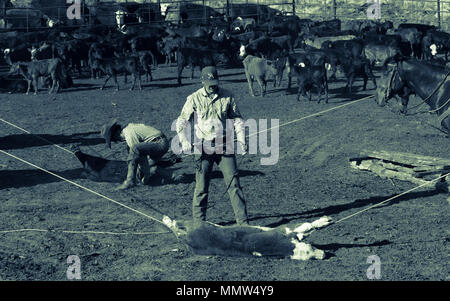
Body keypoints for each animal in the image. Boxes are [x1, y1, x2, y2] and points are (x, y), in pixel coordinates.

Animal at [163, 214, 332, 258]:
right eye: (309, 252)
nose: (323, 255)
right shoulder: (284, 230)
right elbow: (306, 226)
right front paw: (326, 220)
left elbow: (308, 227)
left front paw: (326, 220)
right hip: (195, 223)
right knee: (175, 222)